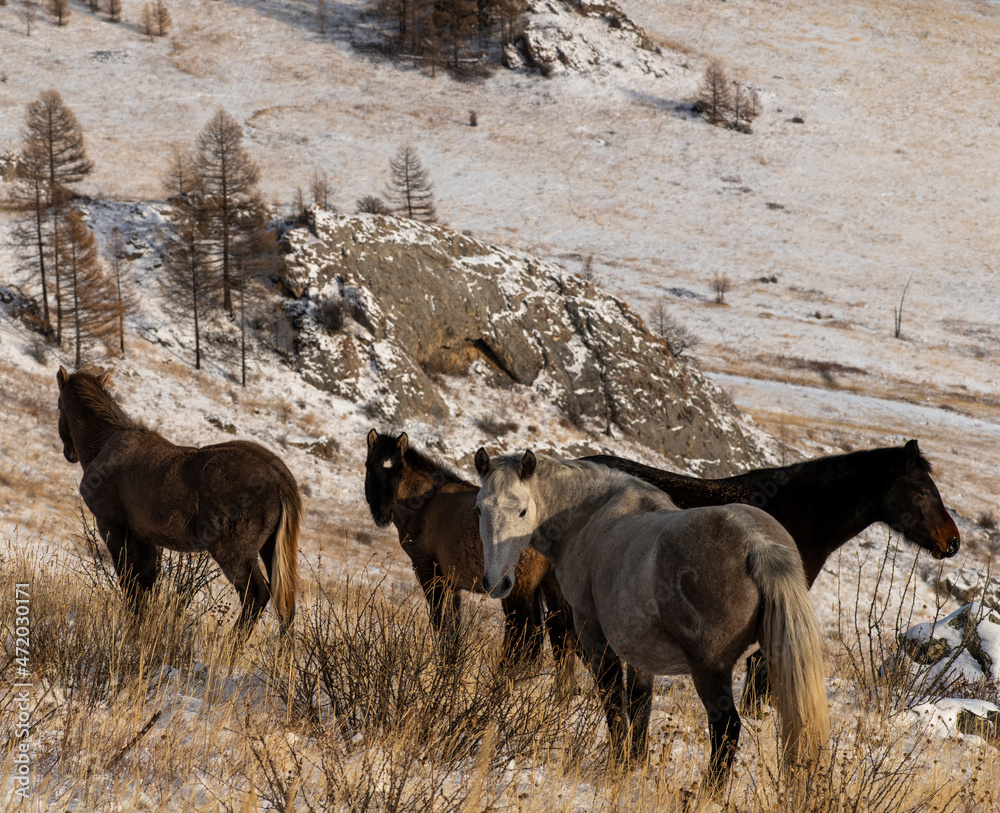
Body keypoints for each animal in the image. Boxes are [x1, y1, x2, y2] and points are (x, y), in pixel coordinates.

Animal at [56, 366, 301, 638]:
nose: (69, 452)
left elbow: (129, 582)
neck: (100, 445)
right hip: (269, 548)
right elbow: (147, 583)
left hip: (235, 552)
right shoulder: (145, 535)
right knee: (286, 604)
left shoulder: (111, 525)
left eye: (58, 405)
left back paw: (232, 642)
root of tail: (280, 480)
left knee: (256, 594)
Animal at [365, 429, 571, 663]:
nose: (383, 515)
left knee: (524, 636)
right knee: (561, 640)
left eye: (400, 473)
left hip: (518, 587)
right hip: (550, 586)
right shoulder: (452, 583)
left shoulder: (429, 572)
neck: (425, 501)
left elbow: (441, 624)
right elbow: (453, 629)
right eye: (370, 469)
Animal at [475, 449, 829, 790]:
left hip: (711, 670)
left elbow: (614, 701)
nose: (497, 583)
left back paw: (709, 793)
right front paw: (636, 762)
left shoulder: (596, 640)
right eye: (479, 510)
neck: (589, 518)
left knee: (727, 728)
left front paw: (619, 766)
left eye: (522, 511)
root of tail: (757, 544)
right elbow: (640, 702)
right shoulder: (640, 650)